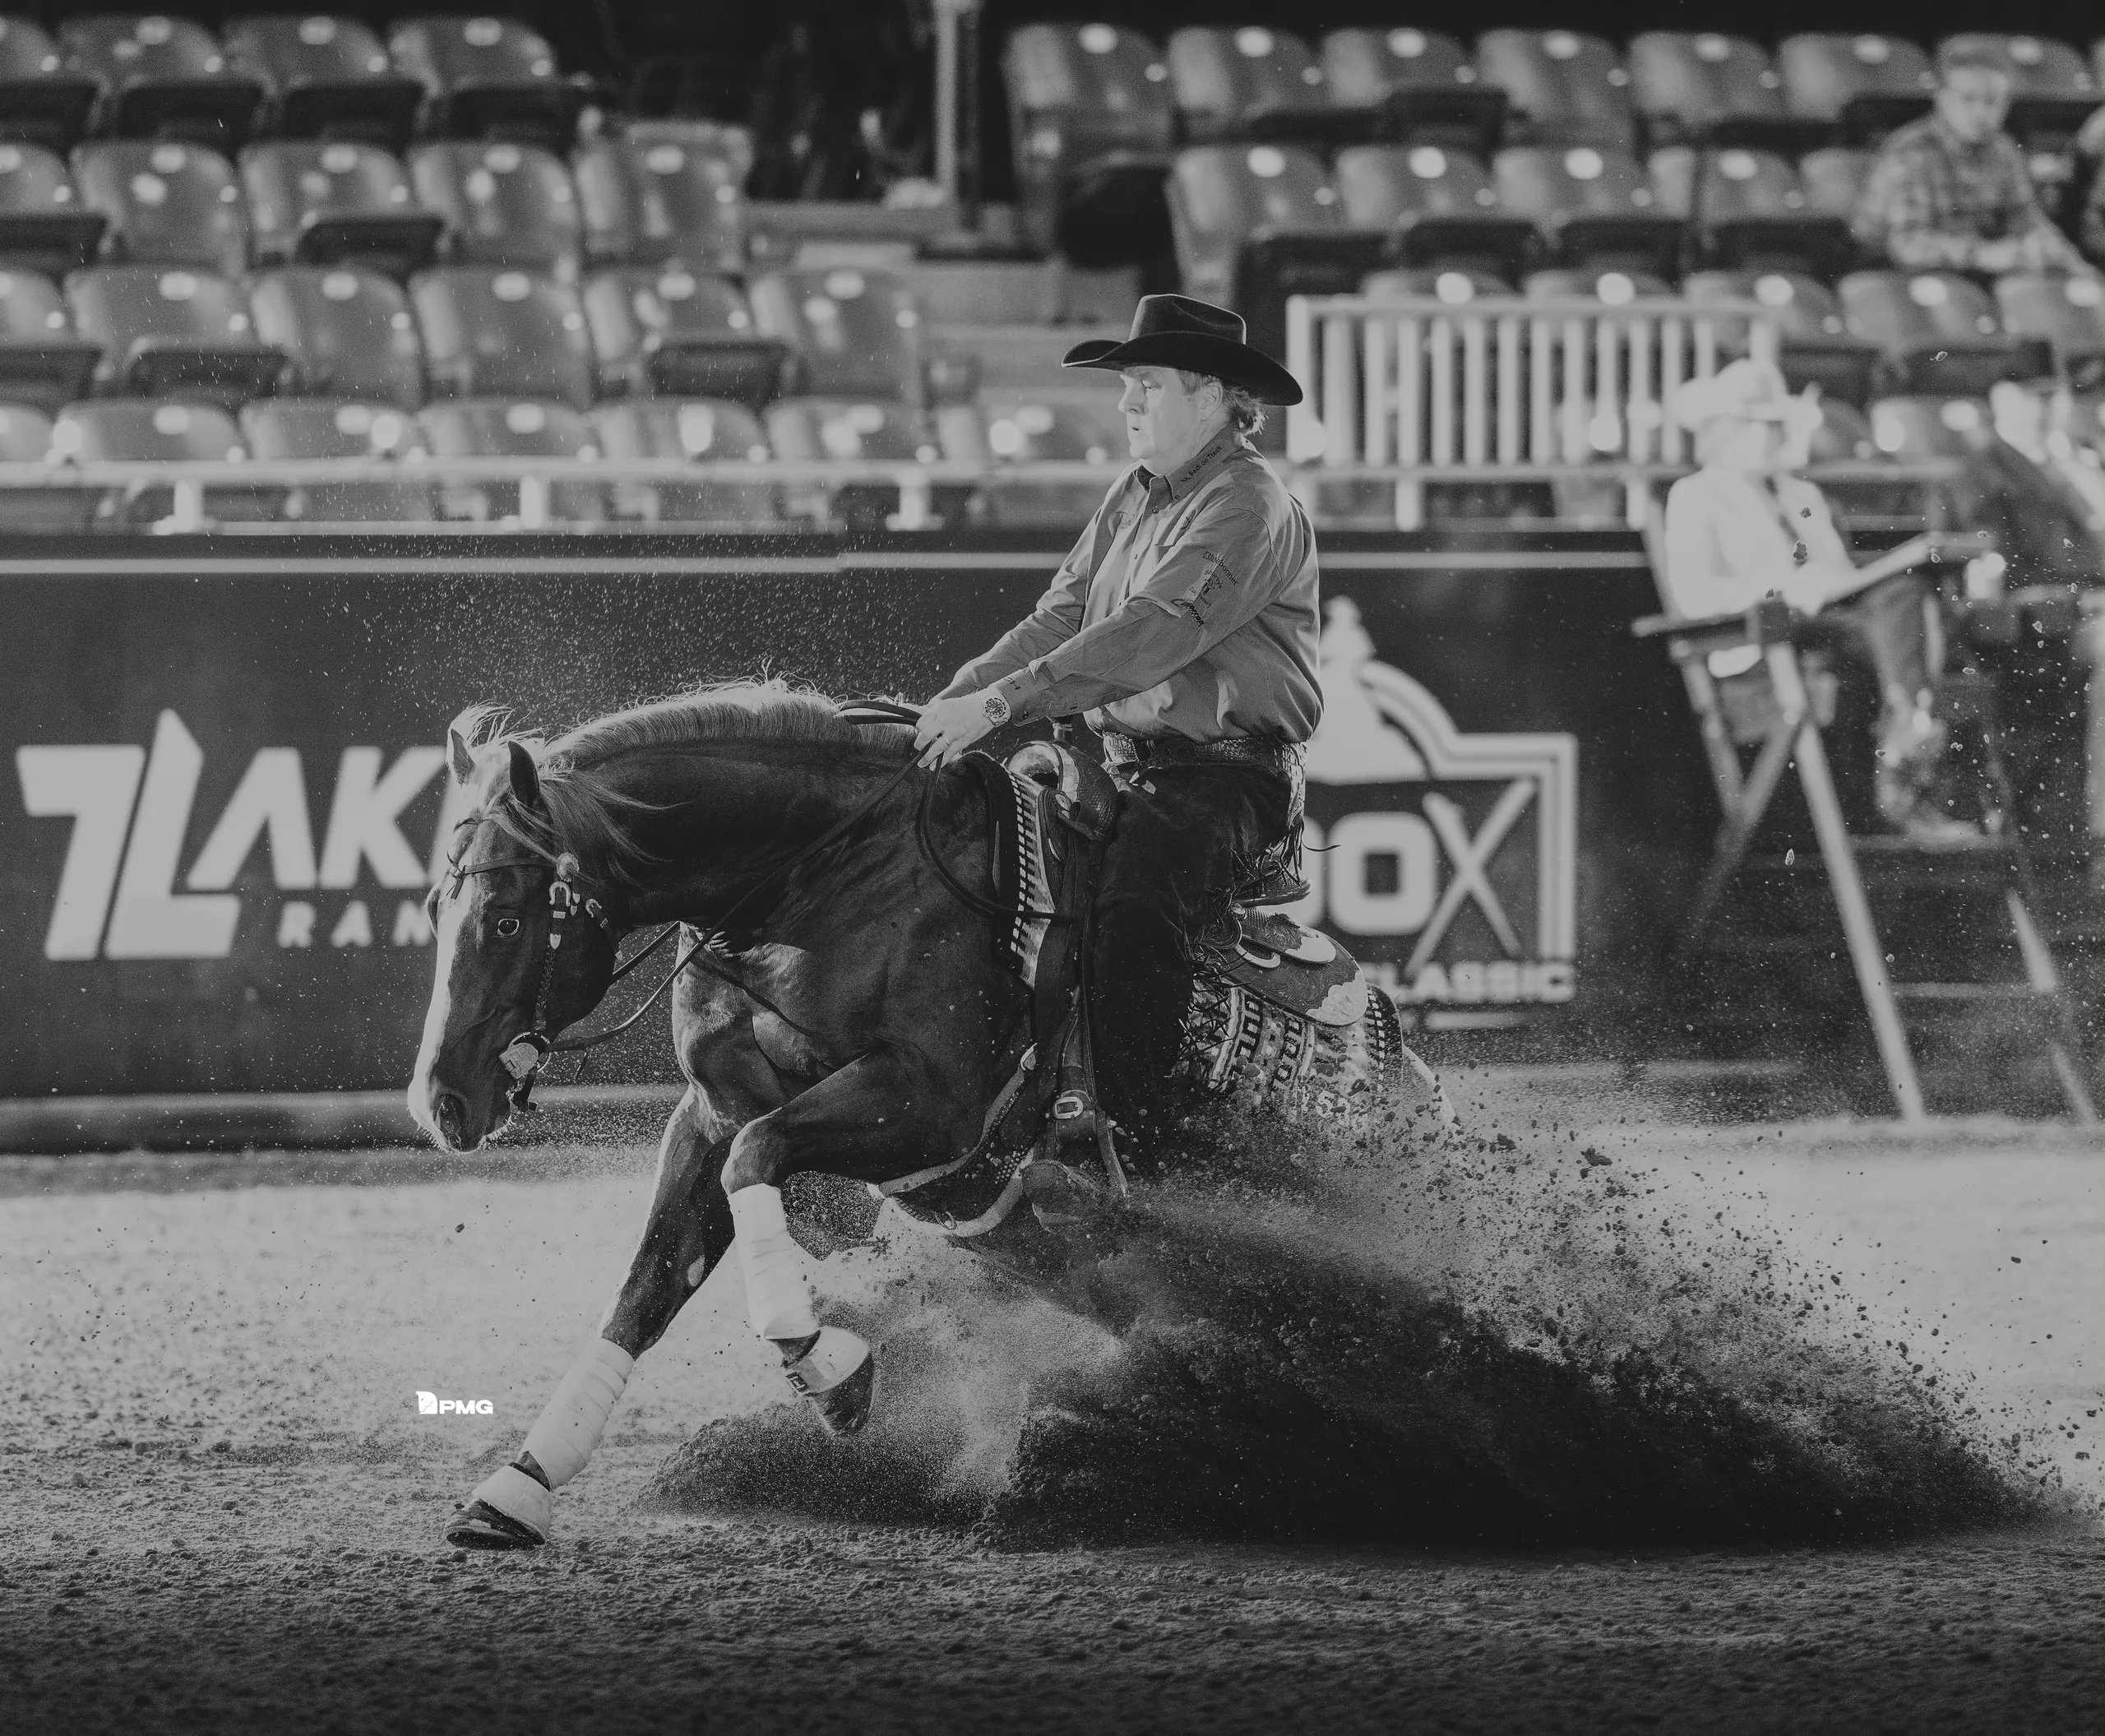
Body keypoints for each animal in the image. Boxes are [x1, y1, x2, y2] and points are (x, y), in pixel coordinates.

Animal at [408, 682, 1430, 1550]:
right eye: (433, 907)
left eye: (506, 918)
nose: (441, 1100)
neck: (828, 880)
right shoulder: (709, 1111)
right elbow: (648, 1285)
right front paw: (517, 1488)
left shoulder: (925, 1107)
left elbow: (758, 1159)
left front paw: (830, 1371)